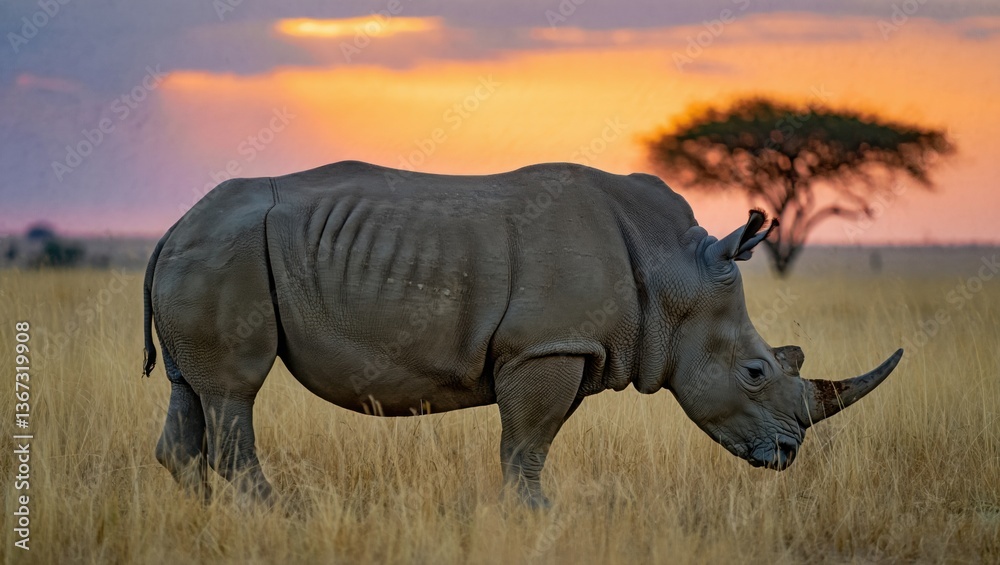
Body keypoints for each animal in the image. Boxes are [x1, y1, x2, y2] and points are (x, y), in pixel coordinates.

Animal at [142, 160, 902, 507]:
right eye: (755, 372)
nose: (789, 452)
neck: (672, 273)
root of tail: (172, 224)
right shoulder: (546, 346)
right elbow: (526, 445)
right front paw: (536, 515)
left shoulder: (570, 347)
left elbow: (531, 444)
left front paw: (529, 511)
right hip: (228, 254)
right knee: (235, 391)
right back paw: (281, 515)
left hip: (207, 252)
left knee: (193, 391)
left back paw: (208, 514)